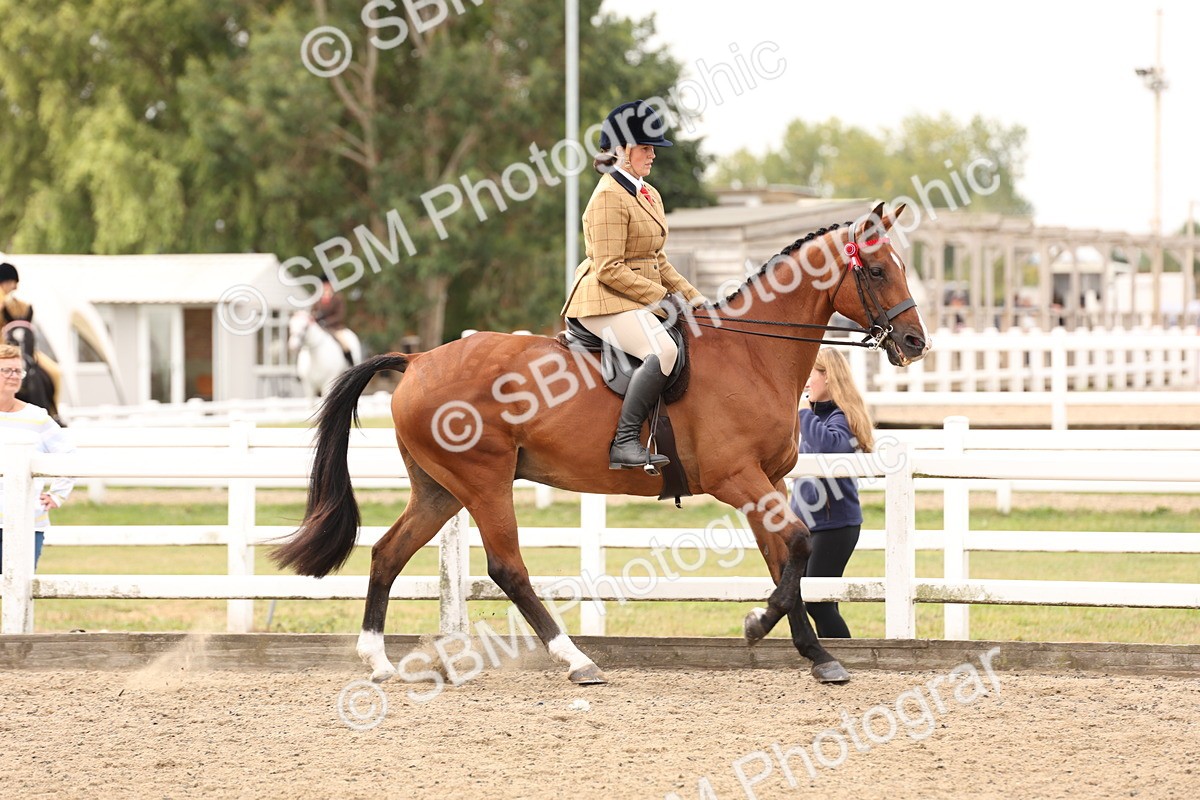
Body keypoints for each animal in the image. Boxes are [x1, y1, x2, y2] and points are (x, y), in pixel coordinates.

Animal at [274, 203, 930, 686]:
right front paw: (754, 625)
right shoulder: (738, 479)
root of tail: (416, 361)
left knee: (388, 553)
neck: (752, 352)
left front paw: (815, 655)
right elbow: (795, 546)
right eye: (877, 270)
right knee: (507, 567)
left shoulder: (767, 481)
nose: (914, 342)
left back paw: (378, 661)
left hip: (439, 488)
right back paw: (577, 661)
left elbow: (785, 558)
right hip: (483, 481)